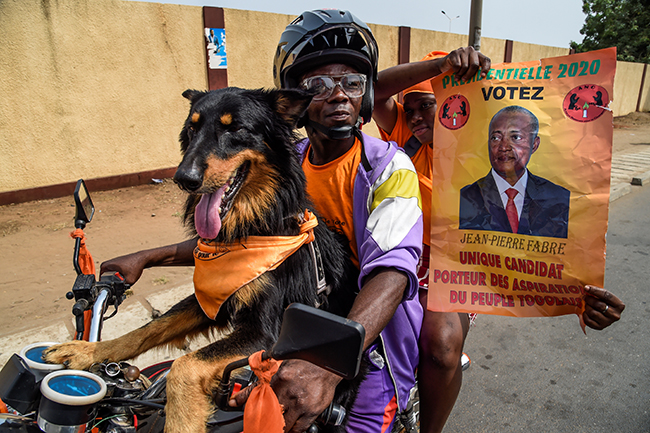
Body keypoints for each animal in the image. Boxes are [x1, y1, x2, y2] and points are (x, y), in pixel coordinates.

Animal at [44, 86, 360, 430]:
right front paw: (87, 350)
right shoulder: (209, 300)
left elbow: (185, 364)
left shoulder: (268, 332)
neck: (251, 230)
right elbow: (146, 331)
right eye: (192, 128)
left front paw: (182, 420)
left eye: (235, 129)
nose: (184, 178)